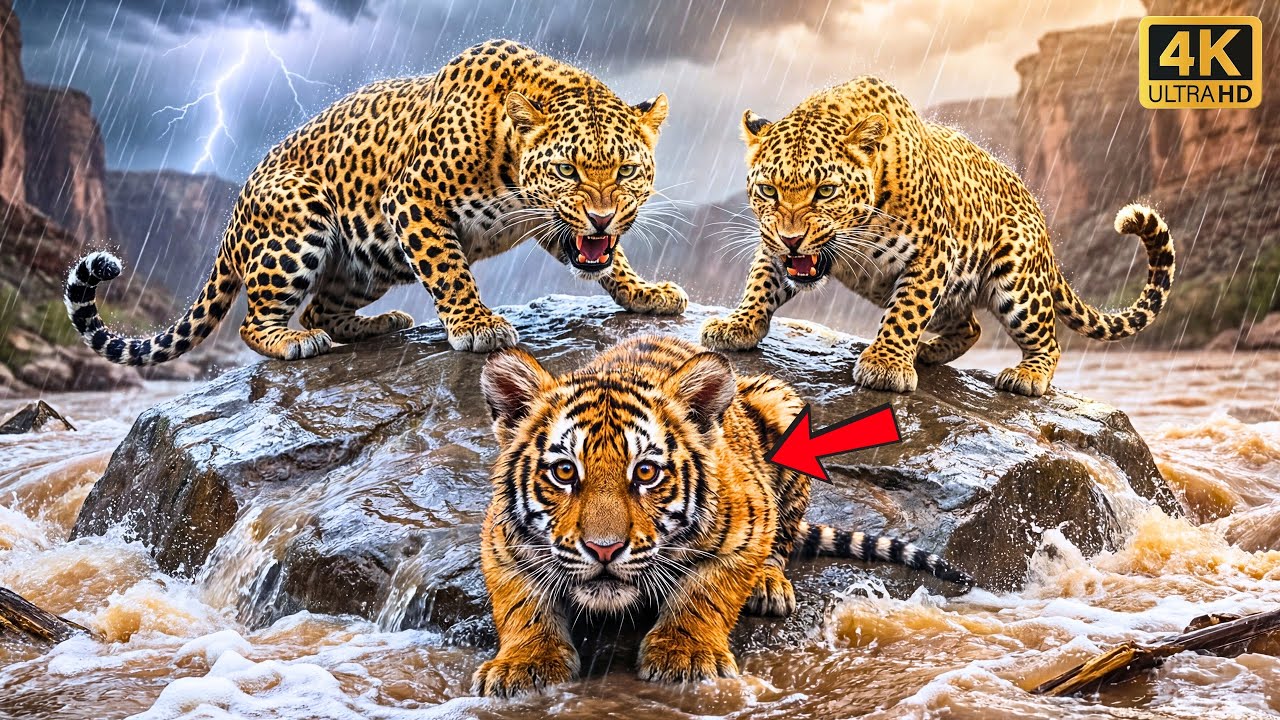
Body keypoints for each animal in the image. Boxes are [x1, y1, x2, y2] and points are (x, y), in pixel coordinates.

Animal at [473, 335, 973, 696]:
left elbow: (705, 592)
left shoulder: (749, 525)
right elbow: (521, 606)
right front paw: (525, 665)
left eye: (646, 472)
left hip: (782, 404)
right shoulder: (500, 542)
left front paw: (684, 655)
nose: (604, 550)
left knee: (783, 542)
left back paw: (769, 586)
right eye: (564, 472)